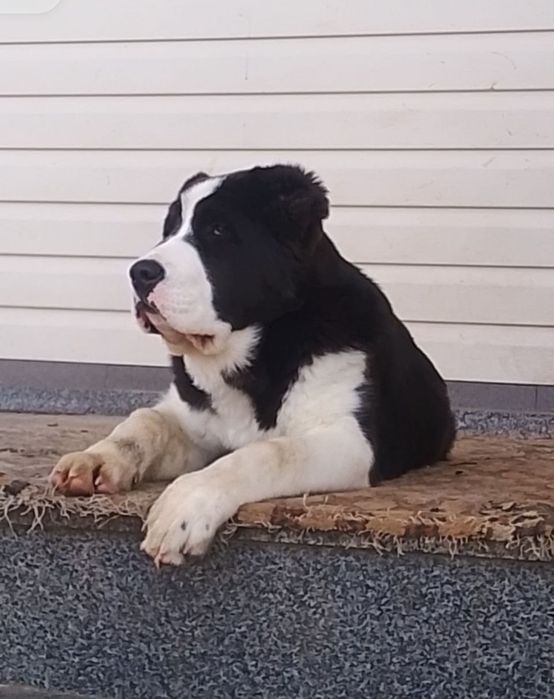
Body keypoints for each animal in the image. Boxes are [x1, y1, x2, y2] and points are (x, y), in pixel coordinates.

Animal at [50, 165, 455, 566]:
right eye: (170, 229)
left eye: (217, 230)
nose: (140, 272)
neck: (252, 355)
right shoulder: (194, 423)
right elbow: (147, 420)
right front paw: (97, 458)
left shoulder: (351, 440)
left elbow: (268, 453)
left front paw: (186, 505)